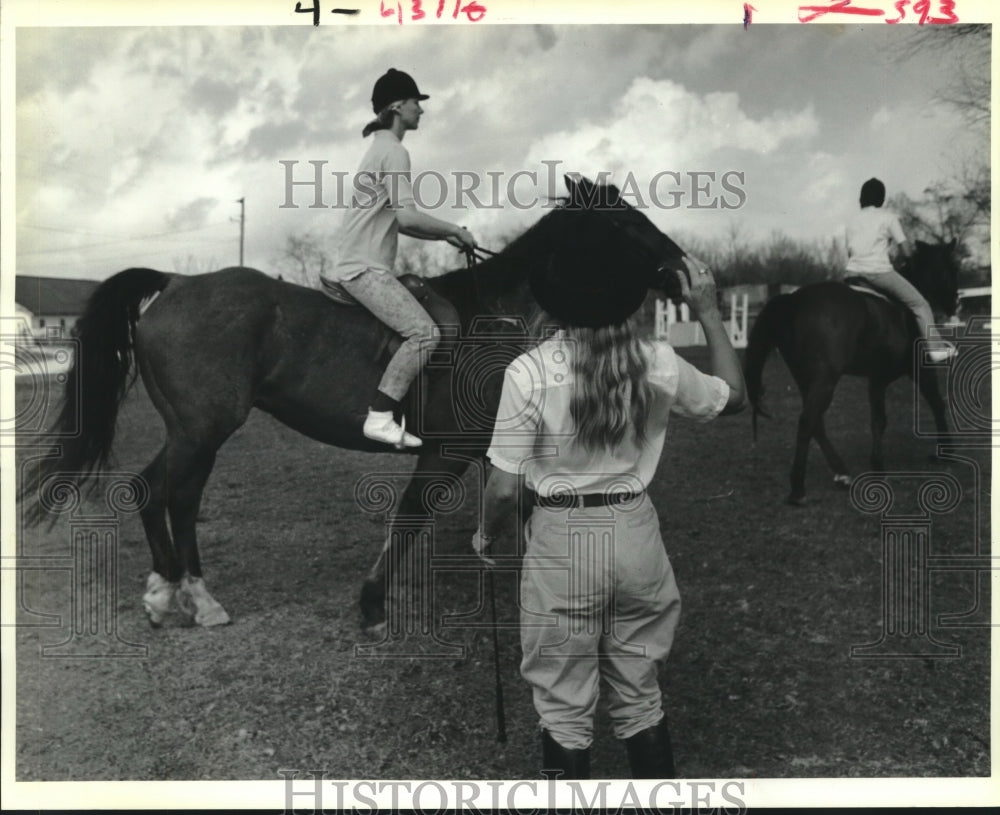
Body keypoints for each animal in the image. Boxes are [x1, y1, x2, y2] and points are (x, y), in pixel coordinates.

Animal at [25, 177, 696, 636]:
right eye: (622, 223)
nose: (682, 269)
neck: (496, 315)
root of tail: (175, 282)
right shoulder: (448, 452)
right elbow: (410, 518)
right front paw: (373, 602)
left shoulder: (498, 449)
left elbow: (520, 507)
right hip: (201, 429)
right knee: (158, 493)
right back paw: (175, 596)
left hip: (197, 433)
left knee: (173, 497)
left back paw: (188, 594)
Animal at [744, 242, 960, 506]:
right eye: (952, 267)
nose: (955, 304)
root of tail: (795, 300)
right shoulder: (918, 370)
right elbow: (935, 405)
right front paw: (944, 452)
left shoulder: (876, 379)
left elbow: (878, 420)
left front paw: (878, 465)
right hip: (825, 380)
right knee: (807, 421)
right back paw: (798, 489)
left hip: (805, 378)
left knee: (816, 422)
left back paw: (841, 472)